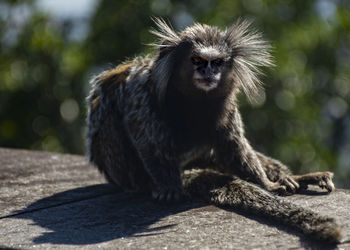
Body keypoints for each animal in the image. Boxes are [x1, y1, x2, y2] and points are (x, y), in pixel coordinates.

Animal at [86, 18, 344, 243]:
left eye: (217, 62)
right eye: (196, 60)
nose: (207, 72)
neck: (194, 102)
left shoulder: (227, 106)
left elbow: (235, 147)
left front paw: (268, 184)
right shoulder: (143, 95)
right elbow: (148, 142)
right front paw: (168, 187)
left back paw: (296, 178)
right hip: (122, 168)